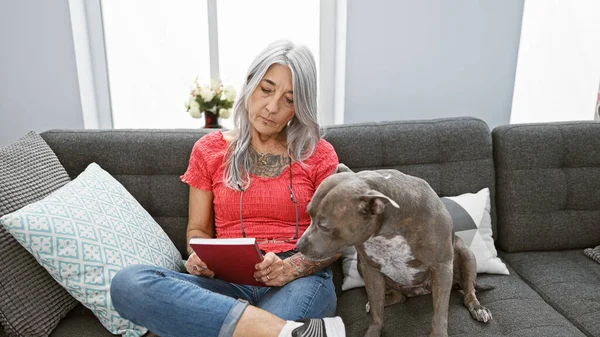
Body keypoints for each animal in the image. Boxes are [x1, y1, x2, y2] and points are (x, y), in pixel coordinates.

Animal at [296, 164, 492, 336]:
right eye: (308, 213)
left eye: (325, 227)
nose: (298, 246)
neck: (387, 229)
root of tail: (418, 291)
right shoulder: (370, 269)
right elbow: (376, 314)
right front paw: (372, 331)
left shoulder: (442, 268)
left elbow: (440, 316)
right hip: (362, 266)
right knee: (396, 297)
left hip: (464, 254)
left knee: (469, 290)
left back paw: (478, 308)